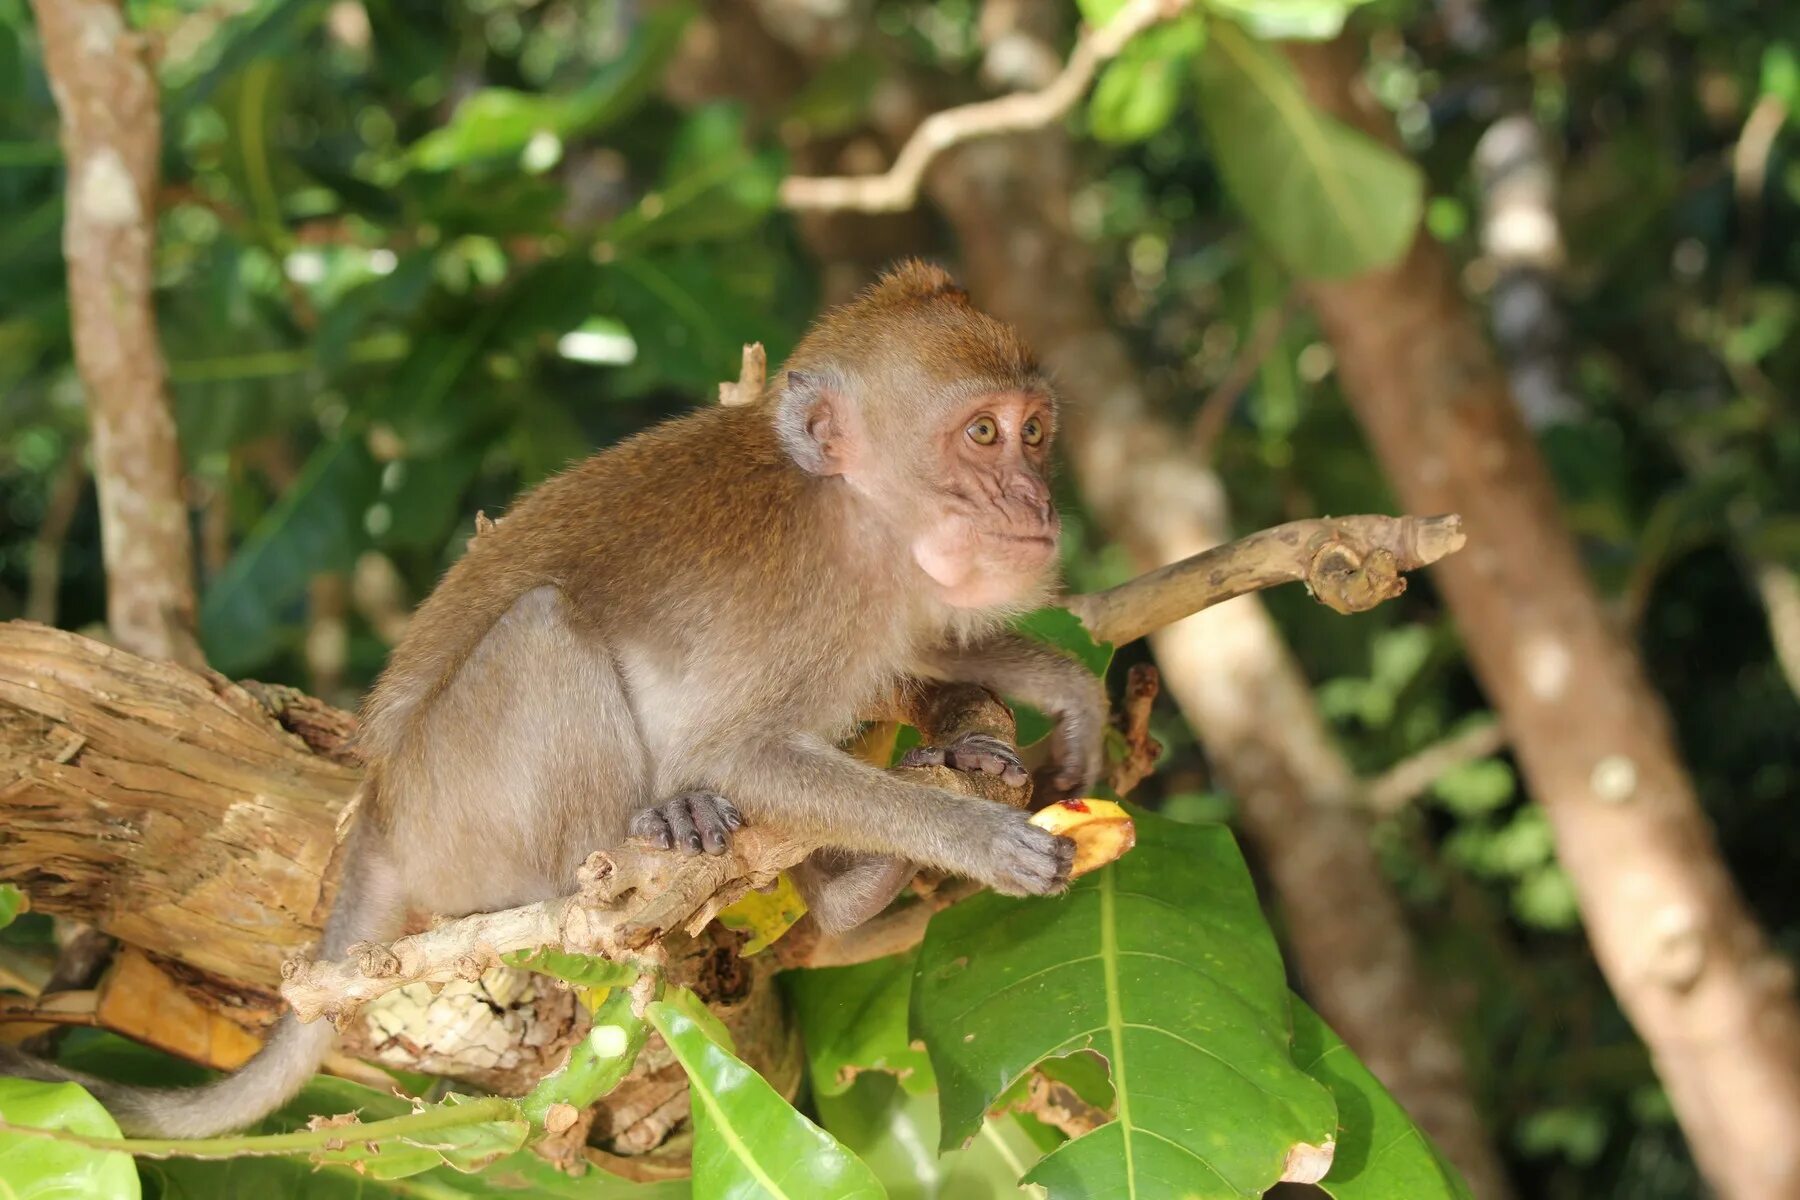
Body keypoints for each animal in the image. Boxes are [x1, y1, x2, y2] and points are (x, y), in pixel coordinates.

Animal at [3, 260, 1108, 1137]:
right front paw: (976, 839)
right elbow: (744, 754)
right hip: (459, 813)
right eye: (982, 433)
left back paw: (849, 890)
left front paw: (1069, 693)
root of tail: (379, 812)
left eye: (1035, 434)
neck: (853, 512)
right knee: (543, 637)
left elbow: (920, 653)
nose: (1037, 504)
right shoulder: (809, 595)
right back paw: (631, 855)